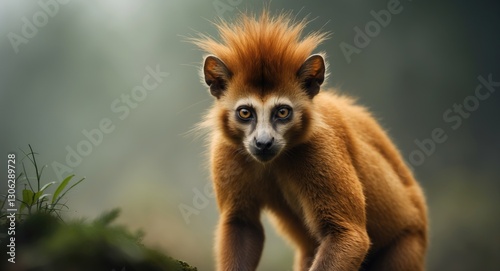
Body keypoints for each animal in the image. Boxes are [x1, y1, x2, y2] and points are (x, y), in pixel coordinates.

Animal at [190, 10, 426, 271]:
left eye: (283, 112)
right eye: (245, 113)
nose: (263, 142)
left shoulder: (319, 148)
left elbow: (347, 235)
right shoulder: (227, 150)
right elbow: (242, 223)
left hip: (409, 244)